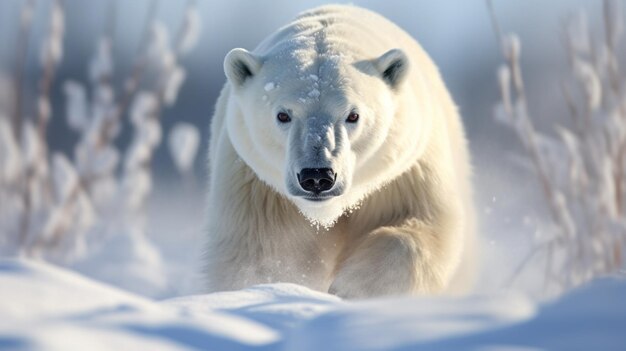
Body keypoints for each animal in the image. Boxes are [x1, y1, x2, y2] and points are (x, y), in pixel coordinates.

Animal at [205, 4, 472, 298]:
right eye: (283, 115)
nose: (317, 176)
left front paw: (351, 286)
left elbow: (423, 225)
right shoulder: (257, 189)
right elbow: (258, 253)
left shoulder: (405, 174)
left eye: (353, 115)